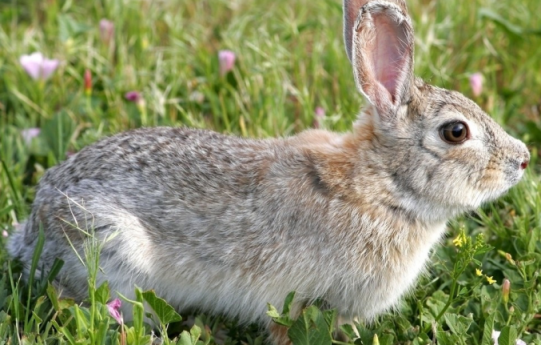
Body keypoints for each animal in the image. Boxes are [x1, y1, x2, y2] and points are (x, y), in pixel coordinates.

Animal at [7, 0, 528, 344]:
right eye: (456, 132)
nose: (522, 160)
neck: (382, 185)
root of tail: (33, 229)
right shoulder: (297, 299)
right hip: (110, 245)